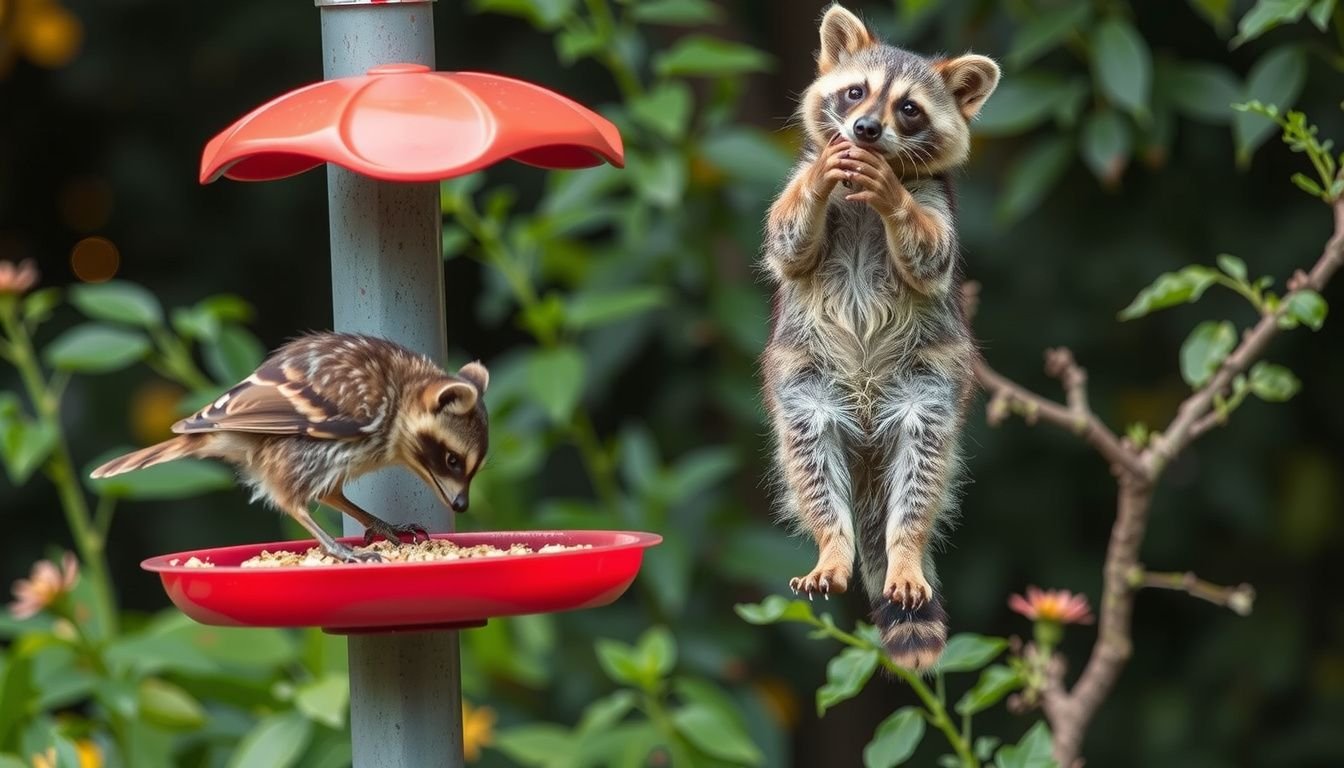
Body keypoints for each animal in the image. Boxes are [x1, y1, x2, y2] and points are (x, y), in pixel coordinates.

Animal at [760, 3, 999, 670]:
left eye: (909, 108)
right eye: (854, 92)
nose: (865, 129)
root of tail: (867, 446)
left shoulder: (937, 202)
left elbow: (929, 254)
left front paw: (894, 201)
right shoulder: (797, 193)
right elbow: (787, 239)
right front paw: (821, 176)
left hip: (929, 389)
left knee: (922, 471)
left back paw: (904, 547)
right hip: (804, 387)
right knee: (810, 465)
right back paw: (833, 541)